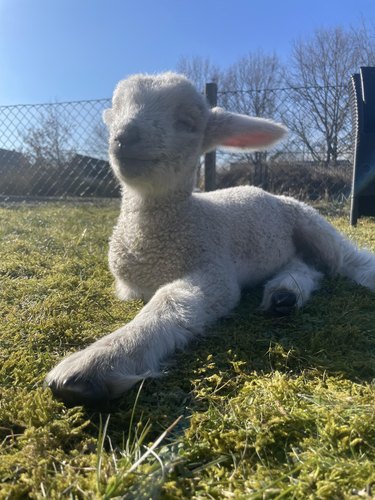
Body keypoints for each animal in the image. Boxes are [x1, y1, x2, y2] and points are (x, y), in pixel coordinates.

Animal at [45, 70, 375, 406]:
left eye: (188, 121)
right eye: (117, 110)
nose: (125, 137)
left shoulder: (214, 267)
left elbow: (173, 300)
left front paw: (97, 362)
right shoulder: (127, 287)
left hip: (312, 223)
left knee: (343, 262)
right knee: (306, 265)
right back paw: (284, 294)